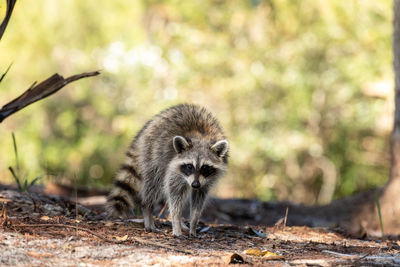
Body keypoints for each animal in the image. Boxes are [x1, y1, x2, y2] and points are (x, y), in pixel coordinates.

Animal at [106, 103, 230, 238]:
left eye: (205, 167)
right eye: (189, 166)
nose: (195, 184)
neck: (202, 137)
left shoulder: (206, 180)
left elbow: (199, 199)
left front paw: (193, 223)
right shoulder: (174, 170)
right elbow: (174, 195)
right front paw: (176, 222)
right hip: (153, 154)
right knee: (153, 185)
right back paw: (147, 210)